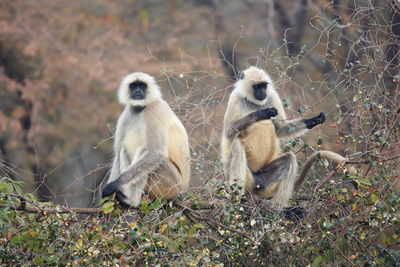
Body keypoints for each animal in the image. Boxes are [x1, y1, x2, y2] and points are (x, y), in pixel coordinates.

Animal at [102, 72, 191, 208]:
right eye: (134, 86)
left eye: (142, 86)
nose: (138, 91)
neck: (141, 108)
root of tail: (183, 189)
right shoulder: (127, 112)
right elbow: (117, 154)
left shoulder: (154, 110)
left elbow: (156, 153)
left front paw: (115, 184)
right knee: (123, 150)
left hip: (172, 185)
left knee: (148, 154)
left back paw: (131, 202)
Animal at [220, 66, 326, 211]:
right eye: (257, 86)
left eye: (264, 86)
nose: (262, 92)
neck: (255, 103)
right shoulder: (235, 97)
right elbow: (229, 132)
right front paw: (260, 113)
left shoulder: (272, 96)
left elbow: (281, 129)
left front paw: (314, 120)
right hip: (243, 177)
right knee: (236, 146)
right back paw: (237, 200)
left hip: (263, 181)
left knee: (289, 159)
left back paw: (279, 209)